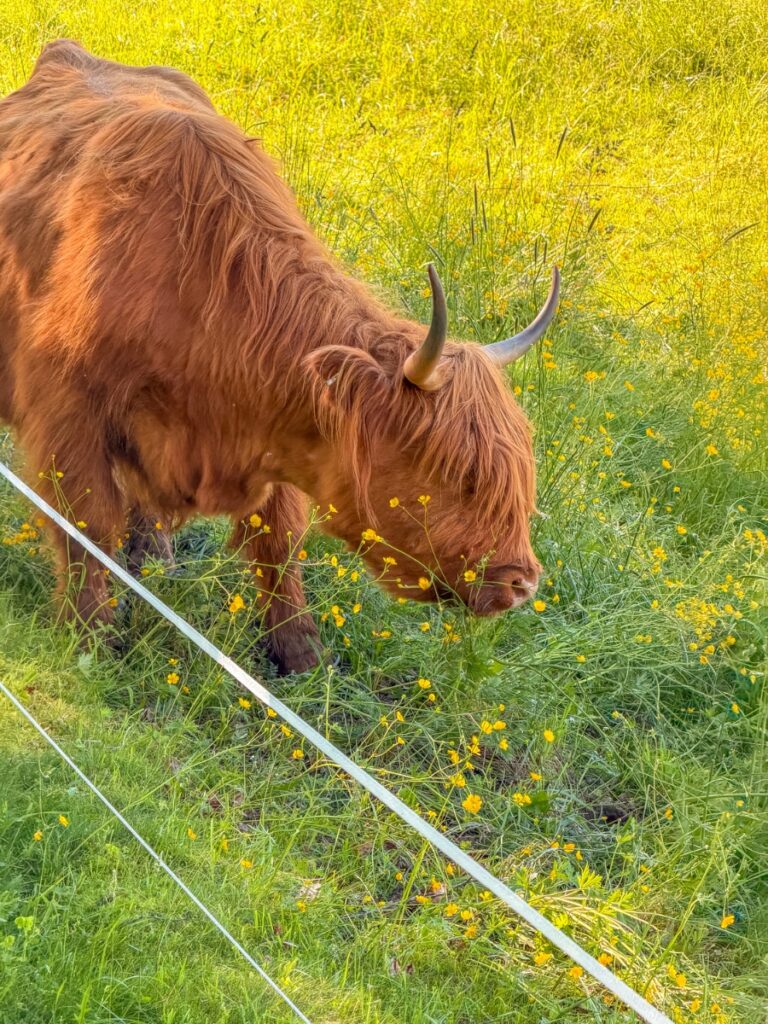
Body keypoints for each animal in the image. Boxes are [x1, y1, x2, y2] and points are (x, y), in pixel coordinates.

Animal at [0, 40, 559, 673]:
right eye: (457, 473)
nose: (521, 583)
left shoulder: (280, 437)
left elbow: (279, 538)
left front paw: (301, 651)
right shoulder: (68, 419)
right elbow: (86, 525)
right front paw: (90, 639)